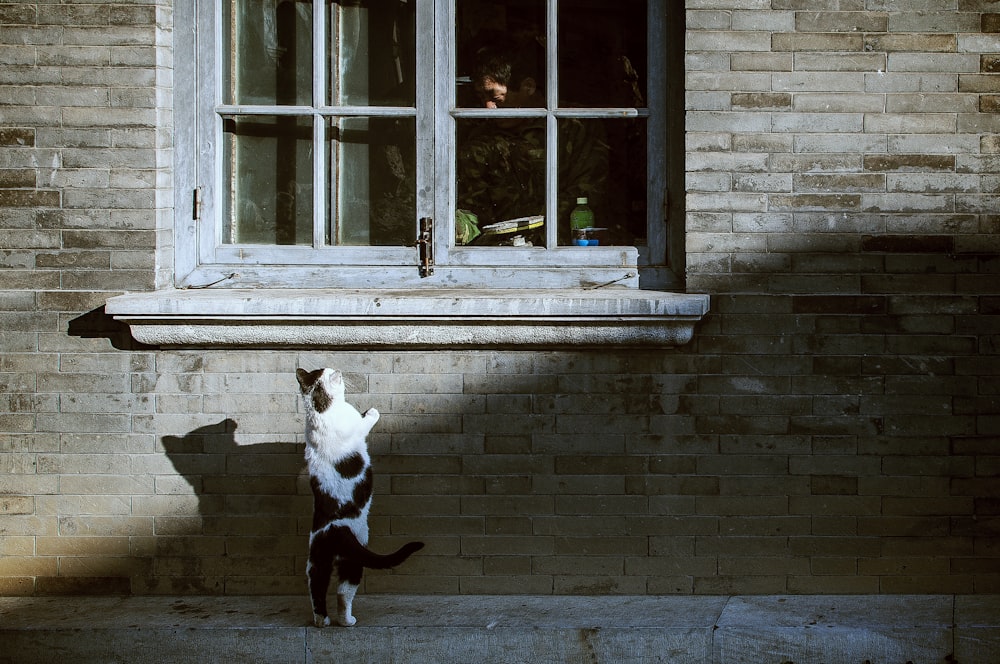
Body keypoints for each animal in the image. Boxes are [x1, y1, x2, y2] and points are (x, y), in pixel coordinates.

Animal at [294, 368, 424, 628]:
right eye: (331, 371)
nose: (339, 370)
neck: (319, 411)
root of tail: (332, 529)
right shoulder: (356, 426)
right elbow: (366, 422)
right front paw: (372, 412)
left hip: (316, 563)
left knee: (317, 591)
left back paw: (322, 621)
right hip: (354, 557)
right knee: (343, 592)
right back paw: (347, 621)